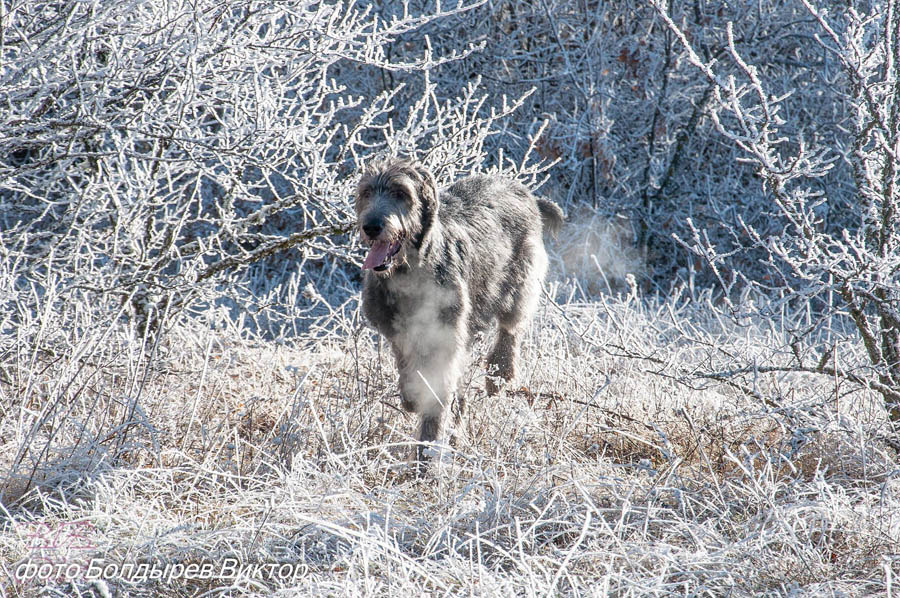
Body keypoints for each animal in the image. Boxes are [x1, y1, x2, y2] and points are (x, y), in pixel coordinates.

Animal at [354, 159, 560, 474]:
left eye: (401, 193)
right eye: (366, 192)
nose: (372, 226)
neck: (412, 269)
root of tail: (526, 193)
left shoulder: (445, 336)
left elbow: (436, 395)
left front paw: (426, 462)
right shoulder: (398, 332)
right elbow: (410, 372)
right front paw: (412, 397)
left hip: (520, 283)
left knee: (511, 329)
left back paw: (500, 374)